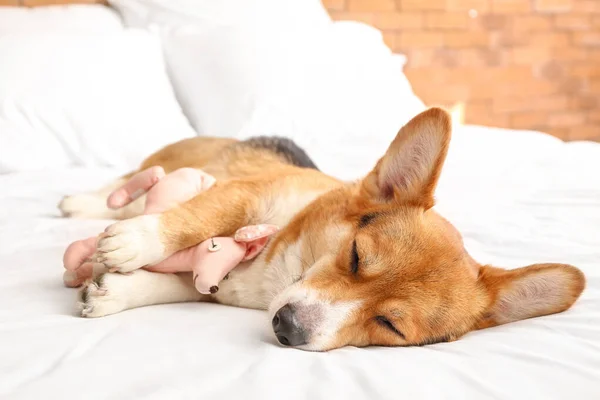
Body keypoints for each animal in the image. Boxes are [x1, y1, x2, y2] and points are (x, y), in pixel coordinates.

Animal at [61, 108, 584, 352]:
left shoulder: (215, 285)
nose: (288, 328)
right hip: (162, 168)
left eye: (390, 326)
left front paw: (115, 291)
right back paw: (80, 203)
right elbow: (194, 219)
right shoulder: (243, 195)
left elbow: (176, 286)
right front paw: (134, 243)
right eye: (356, 255)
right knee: (124, 187)